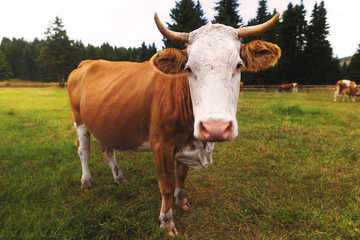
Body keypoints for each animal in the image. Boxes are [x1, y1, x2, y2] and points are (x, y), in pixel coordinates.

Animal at [67, 11, 282, 236]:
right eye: (188, 68)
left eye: (238, 65)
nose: (215, 127)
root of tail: (87, 63)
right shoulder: (161, 145)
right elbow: (167, 185)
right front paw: (167, 221)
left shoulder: (186, 143)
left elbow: (181, 175)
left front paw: (182, 200)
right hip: (79, 120)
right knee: (84, 151)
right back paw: (86, 181)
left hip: (105, 123)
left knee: (108, 151)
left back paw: (119, 179)